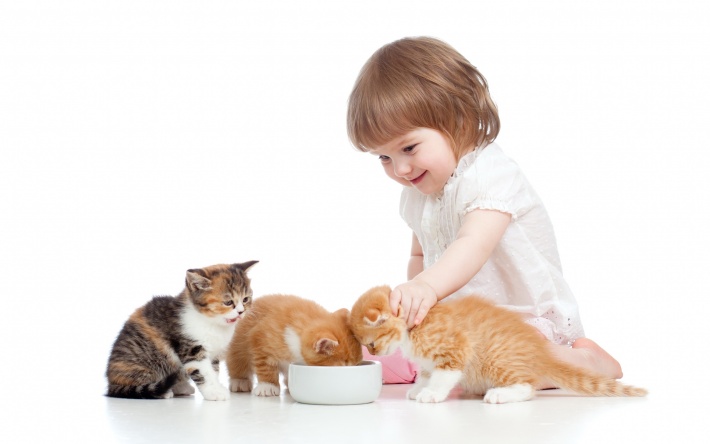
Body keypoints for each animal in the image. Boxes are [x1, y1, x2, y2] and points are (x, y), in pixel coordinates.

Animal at [105, 262, 258, 400]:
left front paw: (217, 387)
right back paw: (163, 392)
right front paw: (214, 392)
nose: (241, 312)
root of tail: (110, 383)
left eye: (245, 299)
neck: (211, 322)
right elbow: (203, 371)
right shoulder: (191, 348)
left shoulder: (214, 353)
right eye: (228, 302)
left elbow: (213, 371)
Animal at [227, 294, 364, 396]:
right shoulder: (261, 342)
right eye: (344, 365)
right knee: (237, 358)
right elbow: (265, 367)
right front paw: (268, 386)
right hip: (238, 341)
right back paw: (240, 381)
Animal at [350, 286, 652, 404]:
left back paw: (500, 394)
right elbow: (425, 374)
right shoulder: (427, 363)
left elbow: (443, 376)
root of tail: (541, 353)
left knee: (528, 387)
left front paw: (432, 394)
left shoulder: (456, 349)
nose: (374, 352)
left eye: (371, 343)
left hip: (496, 360)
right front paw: (418, 389)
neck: (413, 328)